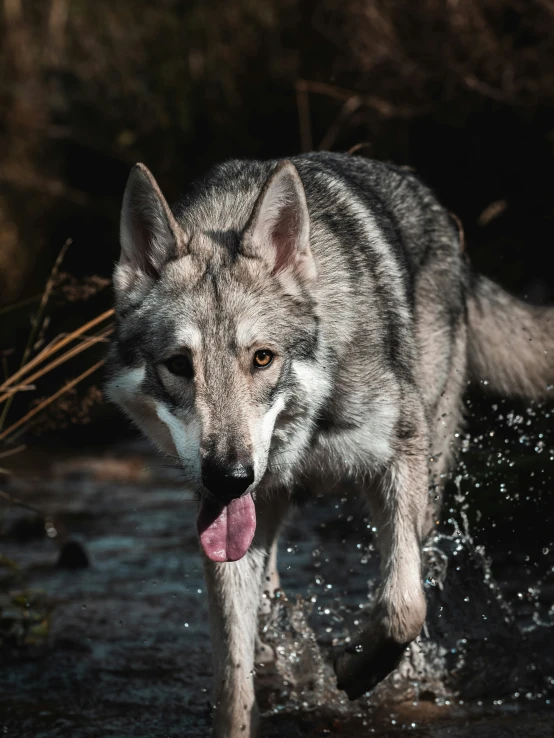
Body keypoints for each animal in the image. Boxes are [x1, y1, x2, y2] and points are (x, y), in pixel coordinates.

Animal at [104, 152, 552, 732]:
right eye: (179, 365)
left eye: (263, 358)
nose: (229, 476)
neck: (307, 432)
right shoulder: (223, 520)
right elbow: (232, 684)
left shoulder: (400, 457)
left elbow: (404, 606)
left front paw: (359, 670)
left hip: (429, 478)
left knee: (415, 580)